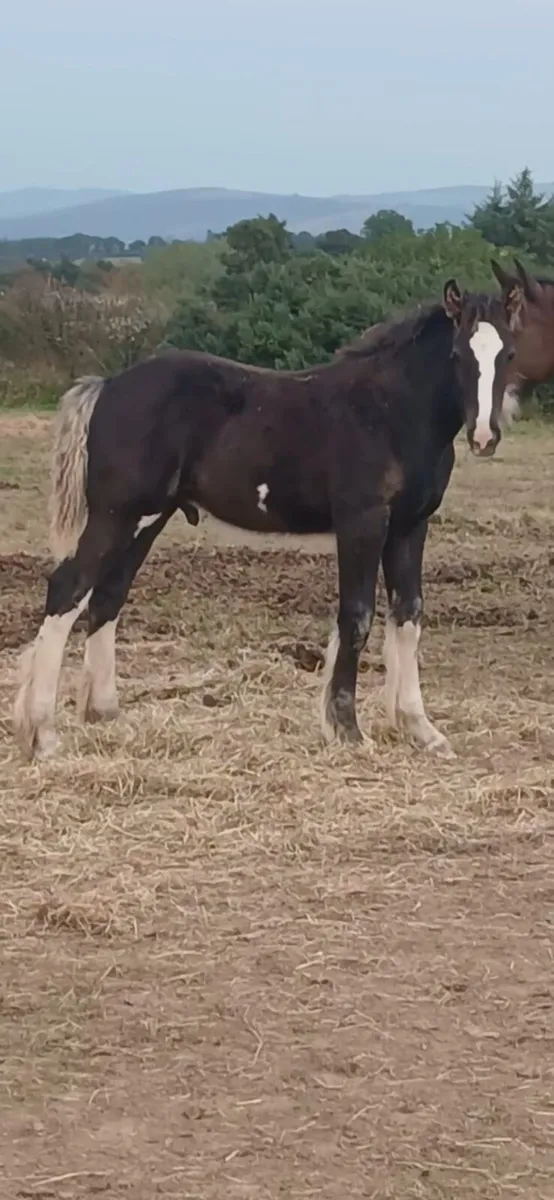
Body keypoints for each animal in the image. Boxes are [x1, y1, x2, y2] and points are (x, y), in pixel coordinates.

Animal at [14, 272, 524, 762]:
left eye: (509, 354)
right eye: (457, 354)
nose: (484, 436)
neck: (390, 411)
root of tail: (107, 387)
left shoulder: (409, 526)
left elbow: (409, 615)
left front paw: (421, 730)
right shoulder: (361, 521)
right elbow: (357, 616)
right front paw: (347, 731)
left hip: (147, 519)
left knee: (107, 598)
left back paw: (106, 716)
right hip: (116, 515)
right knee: (67, 591)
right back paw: (45, 737)